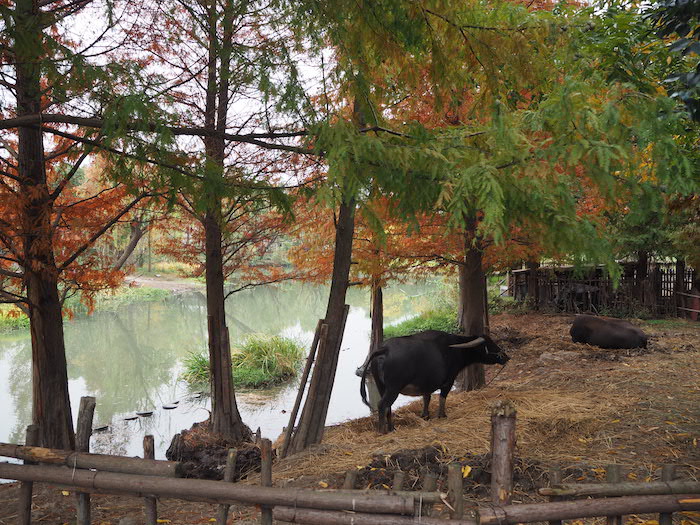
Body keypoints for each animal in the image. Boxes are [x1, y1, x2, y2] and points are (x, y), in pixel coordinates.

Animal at [360, 330, 508, 432]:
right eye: (490, 344)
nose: (506, 357)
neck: (454, 349)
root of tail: (384, 349)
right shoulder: (448, 382)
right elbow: (442, 398)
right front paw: (442, 415)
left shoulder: (427, 385)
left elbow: (427, 399)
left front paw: (425, 416)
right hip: (393, 388)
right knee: (382, 404)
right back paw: (383, 430)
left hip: (381, 387)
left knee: (388, 407)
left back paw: (391, 428)